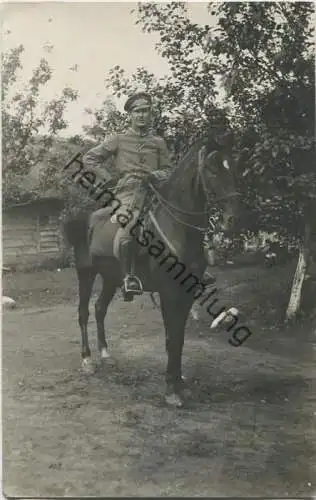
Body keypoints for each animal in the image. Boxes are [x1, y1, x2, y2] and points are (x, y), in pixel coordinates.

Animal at [64, 135, 241, 408]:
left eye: (233, 167)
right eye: (212, 170)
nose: (232, 219)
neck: (178, 227)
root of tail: (84, 218)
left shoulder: (187, 295)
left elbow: (178, 337)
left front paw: (179, 382)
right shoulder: (169, 293)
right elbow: (171, 338)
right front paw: (171, 389)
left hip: (111, 278)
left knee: (100, 308)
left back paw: (105, 353)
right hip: (86, 274)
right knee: (84, 313)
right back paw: (87, 359)